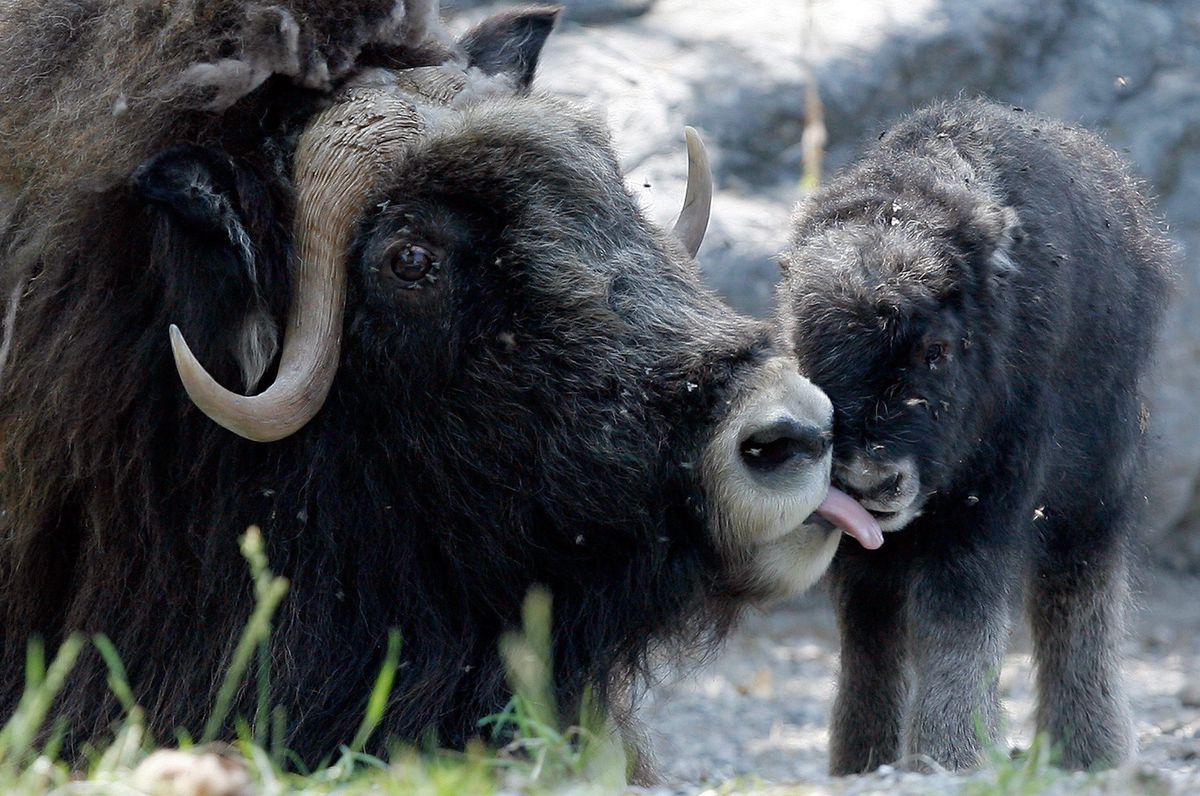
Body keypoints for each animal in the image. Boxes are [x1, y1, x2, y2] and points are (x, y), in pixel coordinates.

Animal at [776, 98, 1174, 774]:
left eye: (935, 350)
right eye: (807, 352)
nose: (870, 481)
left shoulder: (984, 505)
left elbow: (958, 616)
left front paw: (951, 755)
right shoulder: (862, 545)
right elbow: (870, 632)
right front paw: (866, 761)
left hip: (1093, 485)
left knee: (1078, 591)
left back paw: (1091, 753)